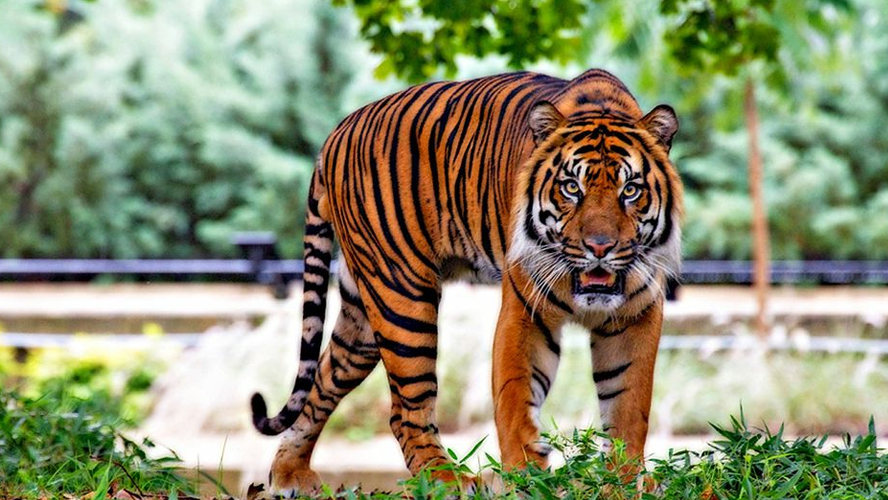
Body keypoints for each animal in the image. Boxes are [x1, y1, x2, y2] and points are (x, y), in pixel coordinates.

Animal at [250, 68, 682, 495]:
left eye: (630, 190)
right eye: (571, 188)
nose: (600, 247)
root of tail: (336, 132)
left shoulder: (637, 316)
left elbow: (628, 406)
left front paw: (621, 481)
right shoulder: (525, 312)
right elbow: (516, 399)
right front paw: (527, 478)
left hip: (362, 318)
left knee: (323, 381)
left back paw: (289, 474)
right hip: (402, 298)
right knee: (405, 410)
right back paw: (447, 480)